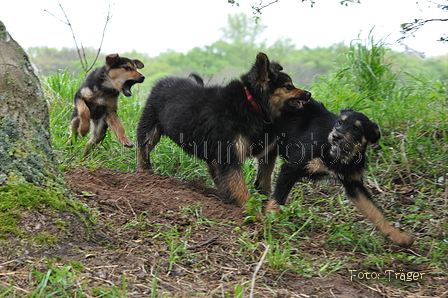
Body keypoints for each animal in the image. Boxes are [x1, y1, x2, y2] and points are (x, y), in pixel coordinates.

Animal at [137, 52, 312, 208]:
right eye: (288, 86)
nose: (309, 94)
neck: (252, 104)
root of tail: (164, 81)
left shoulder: (265, 151)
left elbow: (264, 182)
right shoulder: (230, 156)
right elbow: (241, 190)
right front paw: (253, 213)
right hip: (150, 129)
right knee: (143, 149)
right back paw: (145, 173)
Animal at [264, 98, 414, 247]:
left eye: (356, 128)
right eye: (339, 123)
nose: (336, 136)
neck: (338, 156)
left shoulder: (353, 184)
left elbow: (375, 211)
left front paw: (398, 236)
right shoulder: (290, 168)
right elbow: (279, 197)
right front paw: (271, 218)